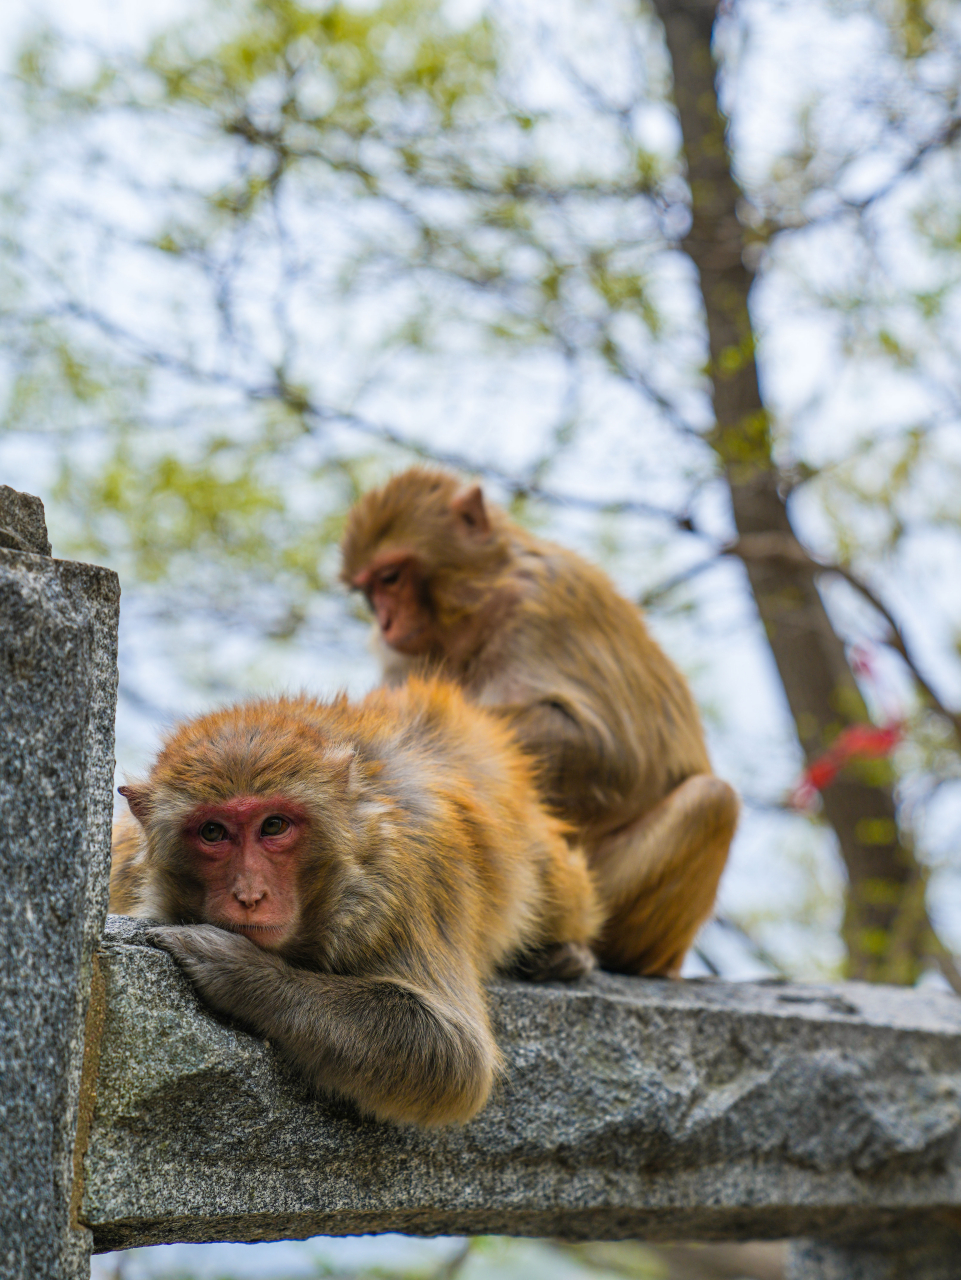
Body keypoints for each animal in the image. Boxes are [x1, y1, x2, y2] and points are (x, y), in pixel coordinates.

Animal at [106, 675, 601, 1126]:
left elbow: (454, 1056)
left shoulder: (400, 886)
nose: (249, 894)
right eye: (212, 832)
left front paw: (242, 971)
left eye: (273, 826)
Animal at [342, 471, 742, 977]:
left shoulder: (546, 603)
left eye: (391, 578)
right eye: (369, 592)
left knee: (713, 801)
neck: (485, 599)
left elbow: (614, 754)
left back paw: (582, 951)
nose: (386, 621)